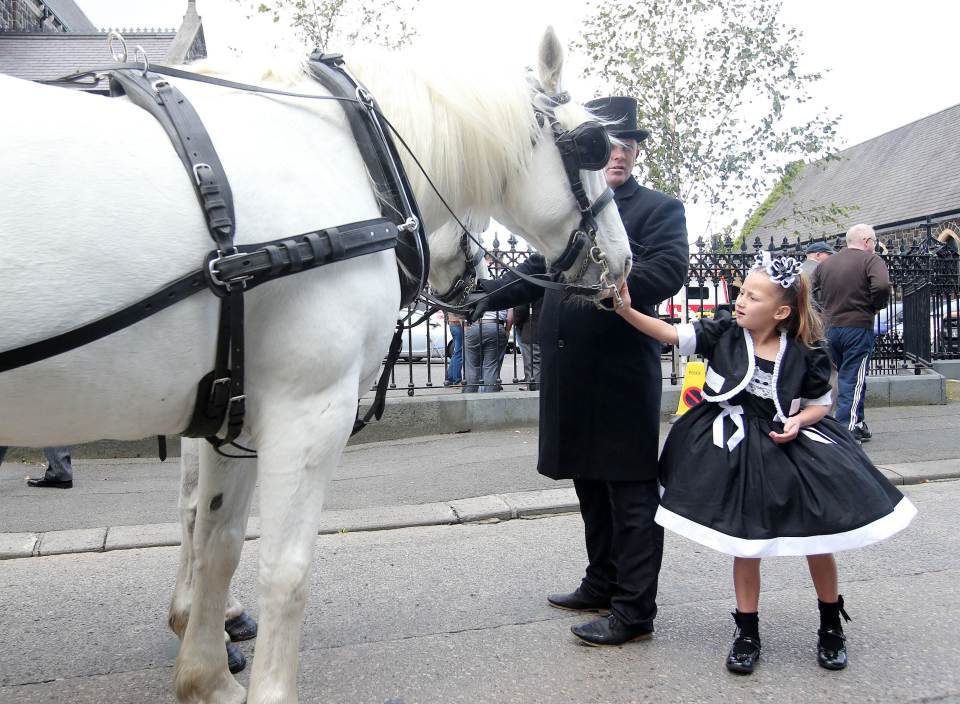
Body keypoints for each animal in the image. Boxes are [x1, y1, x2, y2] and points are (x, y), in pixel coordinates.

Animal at [0, 28, 632, 704]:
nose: (623, 260)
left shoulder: (230, 408)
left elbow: (217, 537)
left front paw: (208, 672)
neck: (355, 151)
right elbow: (284, 567)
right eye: (592, 147)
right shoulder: (308, 410)